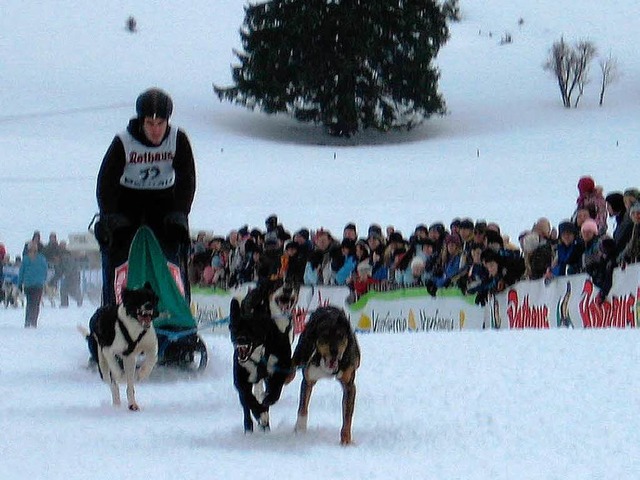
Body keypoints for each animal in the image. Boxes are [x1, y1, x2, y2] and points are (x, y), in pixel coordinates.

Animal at [230, 280, 298, 434]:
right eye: (235, 329)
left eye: (252, 329)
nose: (241, 340)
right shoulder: (241, 378)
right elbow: (248, 398)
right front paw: (260, 412)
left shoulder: (280, 367)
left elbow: (275, 392)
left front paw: (267, 402)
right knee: (246, 404)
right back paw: (250, 426)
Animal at [286, 306, 360, 444]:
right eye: (325, 336)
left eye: (340, 336)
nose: (335, 352)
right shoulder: (308, 379)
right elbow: (302, 407)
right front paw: (300, 429)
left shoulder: (349, 386)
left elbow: (347, 416)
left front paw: (346, 439)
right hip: (302, 352)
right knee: (292, 367)